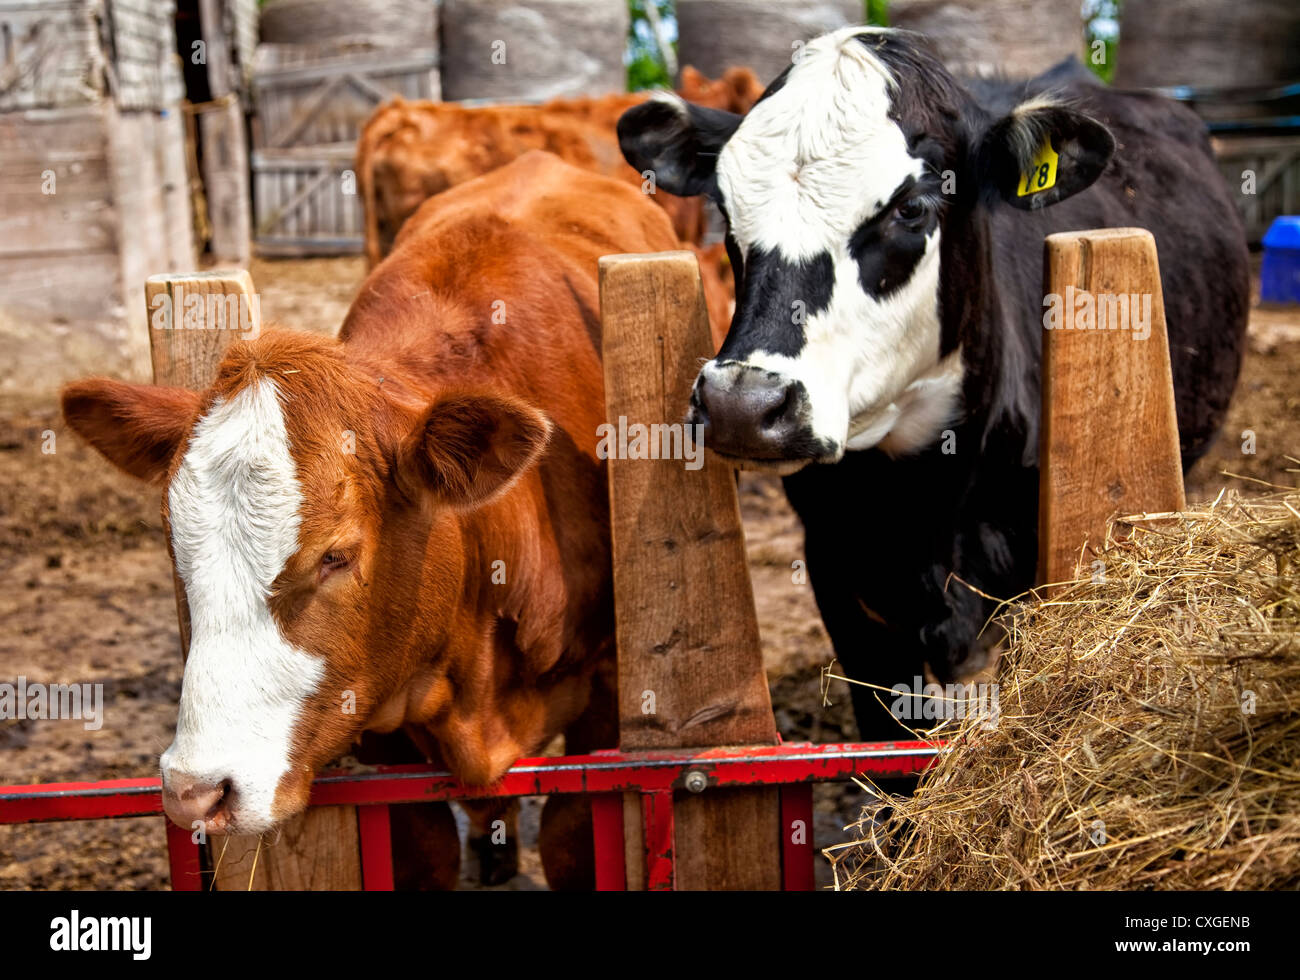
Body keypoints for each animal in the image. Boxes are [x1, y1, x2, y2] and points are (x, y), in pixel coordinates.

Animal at [61, 150, 681, 883]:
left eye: (337, 555)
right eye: (176, 550)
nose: (197, 791)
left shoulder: (611, 698)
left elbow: (570, 836)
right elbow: (424, 847)